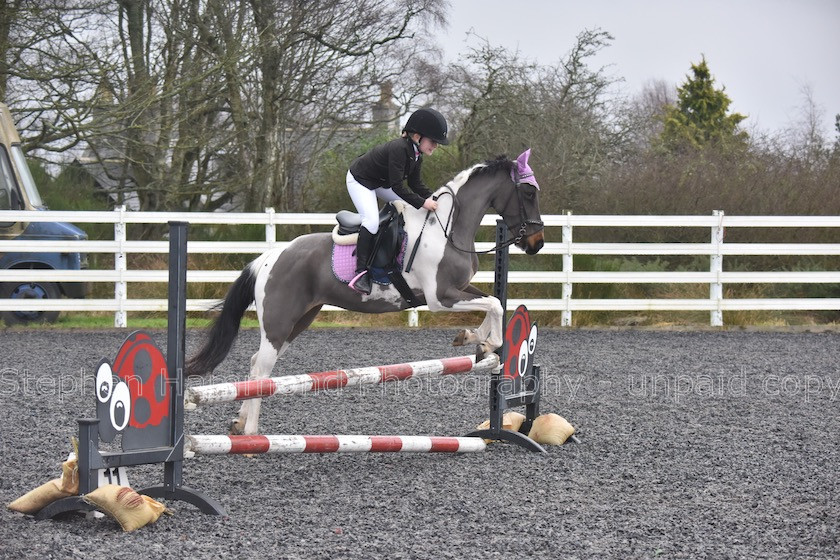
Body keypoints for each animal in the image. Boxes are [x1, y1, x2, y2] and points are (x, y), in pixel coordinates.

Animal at [187, 151, 544, 436]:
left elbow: (494, 303)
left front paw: (476, 341)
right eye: (528, 191)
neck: (447, 228)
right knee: (262, 369)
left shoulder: (457, 289)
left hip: (299, 321)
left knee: (256, 364)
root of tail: (268, 258)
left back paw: (239, 422)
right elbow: (495, 305)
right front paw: (489, 342)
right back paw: (251, 431)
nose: (536, 243)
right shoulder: (440, 297)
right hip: (280, 323)